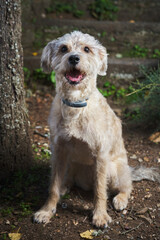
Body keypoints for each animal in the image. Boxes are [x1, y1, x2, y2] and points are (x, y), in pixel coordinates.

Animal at [34, 31, 160, 228]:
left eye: (87, 49)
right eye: (63, 48)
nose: (74, 58)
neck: (76, 105)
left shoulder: (100, 156)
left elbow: (100, 191)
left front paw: (100, 215)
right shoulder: (58, 151)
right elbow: (53, 186)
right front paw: (47, 211)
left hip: (114, 170)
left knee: (126, 187)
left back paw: (121, 199)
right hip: (70, 163)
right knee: (68, 180)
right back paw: (65, 186)